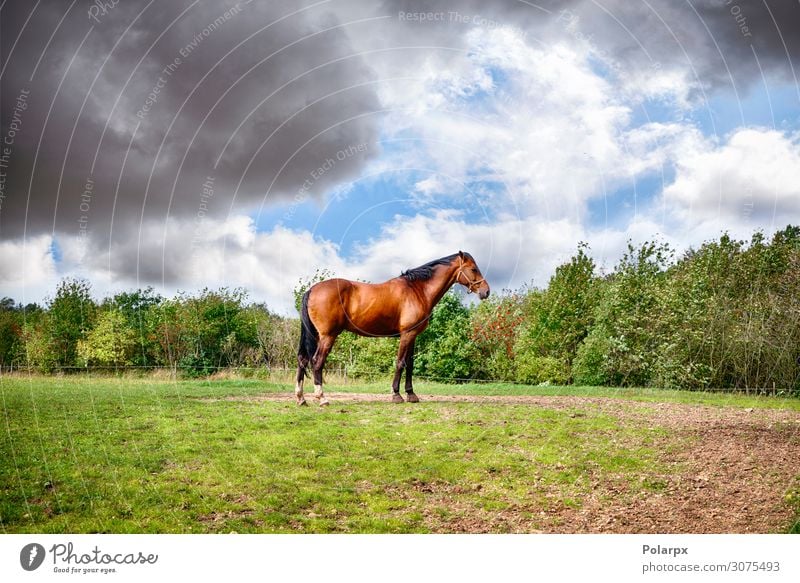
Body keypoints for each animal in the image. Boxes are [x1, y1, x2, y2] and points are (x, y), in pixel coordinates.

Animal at [296, 251, 490, 406]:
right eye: (473, 269)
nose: (486, 291)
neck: (418, 290)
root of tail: (311, 290)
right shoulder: (406, 335)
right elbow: (400, 363)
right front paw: (396, 395)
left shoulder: (413, 336)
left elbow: (410, 364)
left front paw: (411, 395)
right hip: (327, 336)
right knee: (317, 362)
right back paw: (322, 398)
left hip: (315, 335)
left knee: (303, 360)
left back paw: (301, 398)